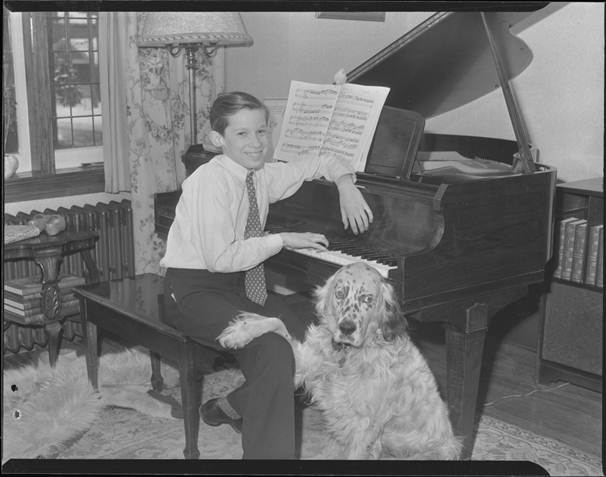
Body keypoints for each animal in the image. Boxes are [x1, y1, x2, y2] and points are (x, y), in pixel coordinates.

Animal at [221, 262, 464, 460]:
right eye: (340, 293)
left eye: (368, 299)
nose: (347, 328)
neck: (345, 358)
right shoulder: (302, 368)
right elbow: (277, 322)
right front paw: (240, 331)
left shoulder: (364, 426)